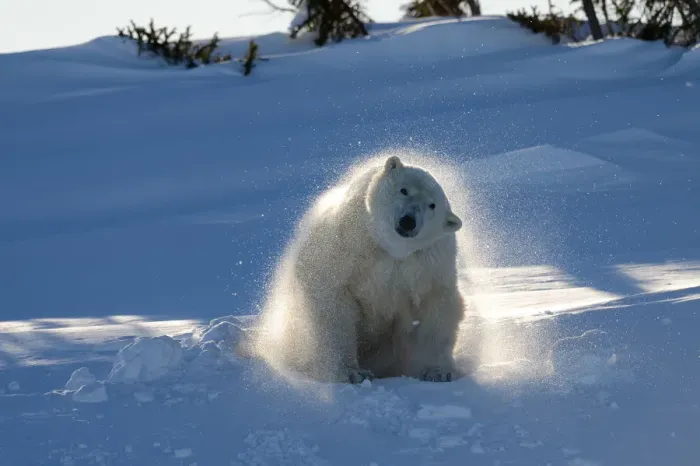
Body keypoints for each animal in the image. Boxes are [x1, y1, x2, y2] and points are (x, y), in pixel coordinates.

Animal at [244, 154, 467, 384]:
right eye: (404, 190)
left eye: (432, 205)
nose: (408, 221)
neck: (390, 249)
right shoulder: (349, 245)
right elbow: (334, 303)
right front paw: (352, 372)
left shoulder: (428, 265)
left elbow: (436, 307)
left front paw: (437, 371)